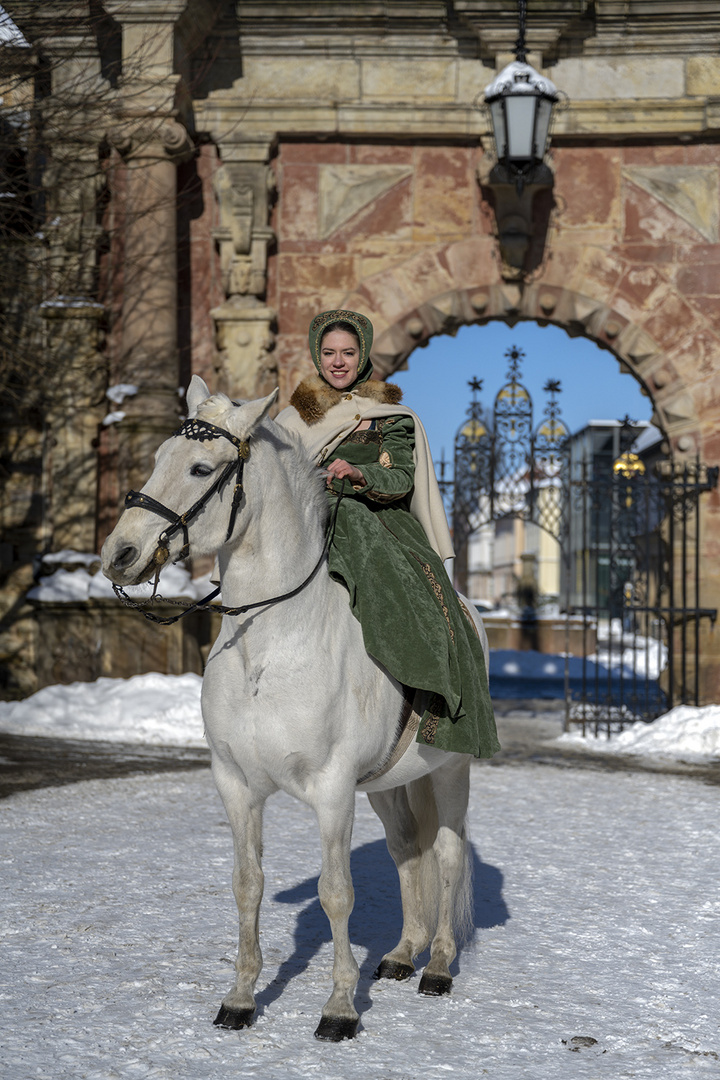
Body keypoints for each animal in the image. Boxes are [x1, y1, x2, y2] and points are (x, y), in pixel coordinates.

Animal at [102, 375, 490, 1041]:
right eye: (156, 458)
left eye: (201, 466)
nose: (120, 552)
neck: (271, 643)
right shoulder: (236, 784)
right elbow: (247, 884)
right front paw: (240, 998)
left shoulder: (332, 790)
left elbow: (337, 892)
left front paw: (339, 1008)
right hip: (387, 784)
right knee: (407, 850)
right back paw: (402, 953)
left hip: (450, 769)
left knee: (445, 851)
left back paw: (438, 965)